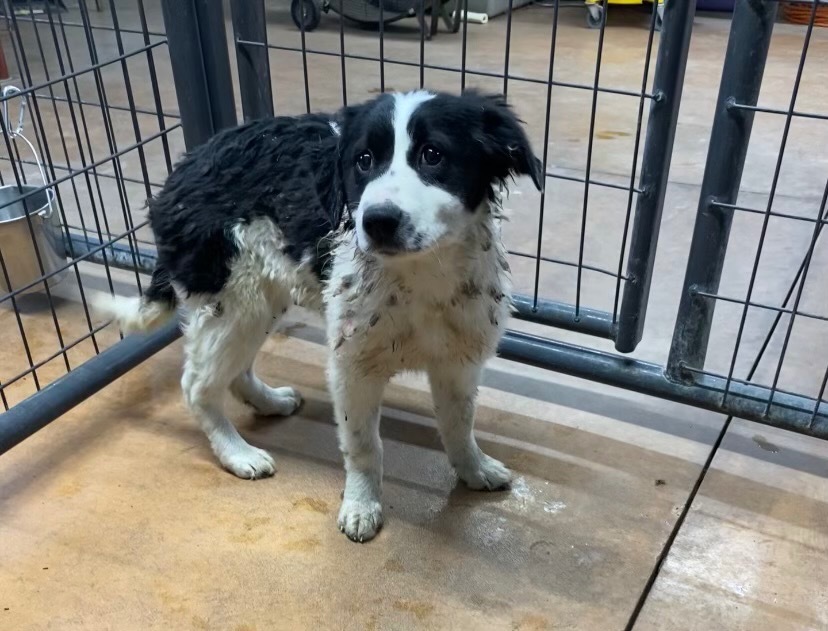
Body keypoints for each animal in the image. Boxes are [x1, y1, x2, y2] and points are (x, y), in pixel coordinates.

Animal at [98, 90, 544, 544]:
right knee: (197, 385)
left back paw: (269, 401)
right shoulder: (352, 367)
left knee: (236, 371)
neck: (419, 275)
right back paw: (237, 453)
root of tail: (183, 170)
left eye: (433, 155)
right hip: (234, 298)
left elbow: (459, 424)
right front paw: (361, 506)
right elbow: (364, 446)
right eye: (363, 160)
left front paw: (474, 469)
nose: (377, 222)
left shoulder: (459, 361)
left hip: (260, 299)